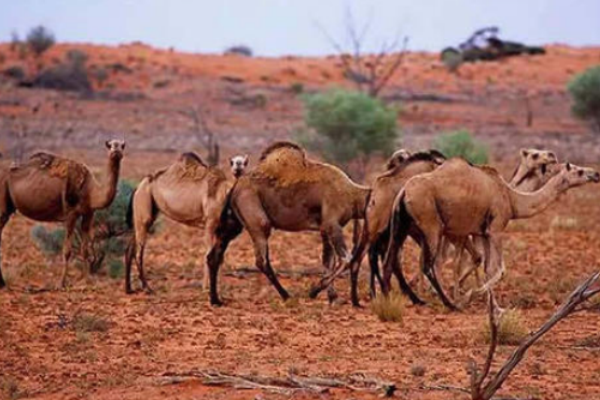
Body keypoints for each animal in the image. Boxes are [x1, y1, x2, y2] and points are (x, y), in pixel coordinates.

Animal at [0, 140, 125, 288]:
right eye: (110, 145)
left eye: (122, 145)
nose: (116, 150)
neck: (91, 191)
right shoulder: (71, 214)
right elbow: (67, 251)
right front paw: (61, 283)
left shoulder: (88, 214)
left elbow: (85, 250)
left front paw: (88, 280)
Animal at [123, 152, 247, 292]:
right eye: (233, 162)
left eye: (244, 162)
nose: (238, 167)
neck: (223, 193)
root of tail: (138, 187)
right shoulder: (210, 223)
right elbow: (208, 254)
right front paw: (206, 287)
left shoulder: (219, 228)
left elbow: (219, 257)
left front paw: (218, 286)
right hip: (143, 205)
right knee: (139, 251)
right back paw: (147, 288)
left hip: (142, 212)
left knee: (130, 249)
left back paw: (129, 289)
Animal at [205, 141, 370, 306]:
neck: (353, 195)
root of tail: (234, 188)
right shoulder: (332, 224)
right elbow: (346, 259)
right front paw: (314, 291)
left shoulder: (325, 228)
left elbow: (328, 261)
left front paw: (333, 297)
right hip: (257, 218)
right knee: (261, 260)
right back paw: (286, 295)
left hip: (233, 222)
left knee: (214, 256)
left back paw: (215, 300)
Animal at [382, 159, 596, 310]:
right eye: (578, 170)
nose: (596, 173)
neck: (512, 198)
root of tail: (403, 191)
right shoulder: (496, 229)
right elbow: (499, 269)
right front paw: (470, 296)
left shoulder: (482, 232)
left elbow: (487, 268)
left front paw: (490, 303)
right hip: (431, 224)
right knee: (428, 264)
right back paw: (448, 303)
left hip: (402, 225)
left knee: (391, 259)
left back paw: (398, 297)